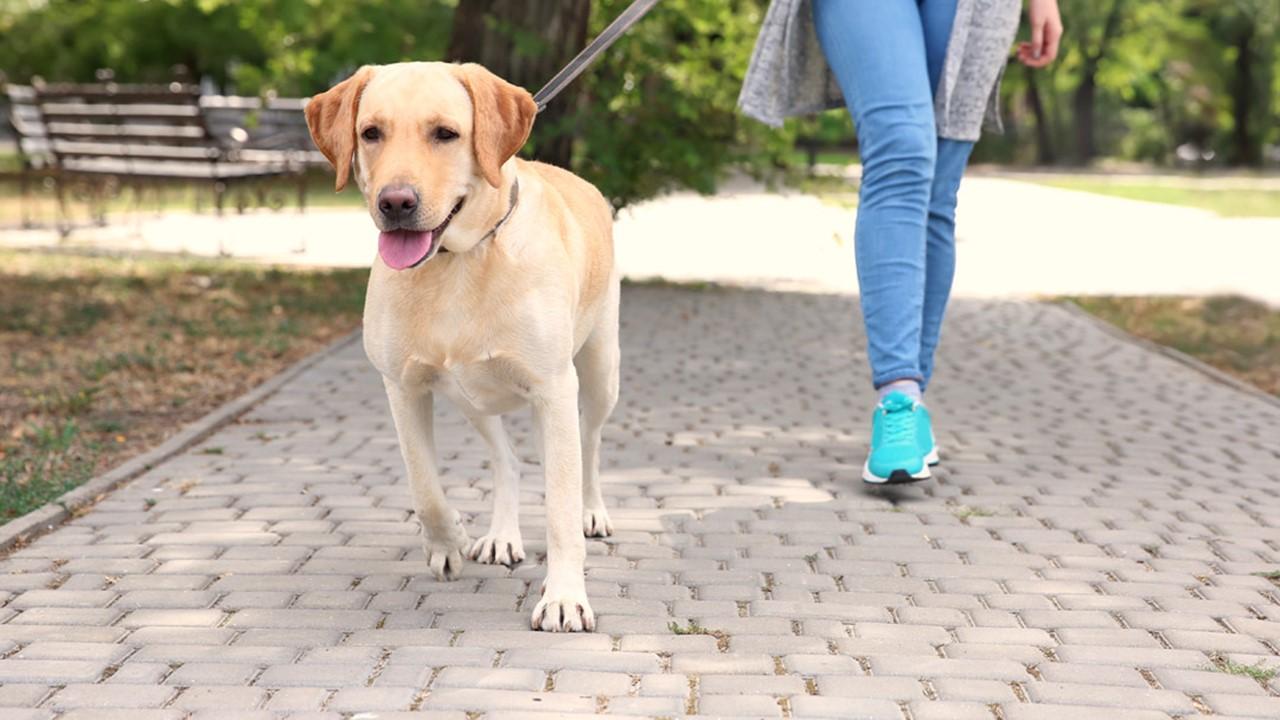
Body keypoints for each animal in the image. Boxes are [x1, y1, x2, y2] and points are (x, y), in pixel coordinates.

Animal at [302, 64, 616, 630]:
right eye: (371, 133)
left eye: (445, 133)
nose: (395, 203)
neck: (457, 262)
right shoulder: (402, 387)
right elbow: (424, 485)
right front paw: (448, 541)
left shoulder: (554, 388)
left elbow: (559, 506)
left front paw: (564, 596)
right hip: (471, 398)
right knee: (507, 459)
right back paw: (501, 535)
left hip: (601, 372)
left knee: (589, 443)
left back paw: (592, 511)